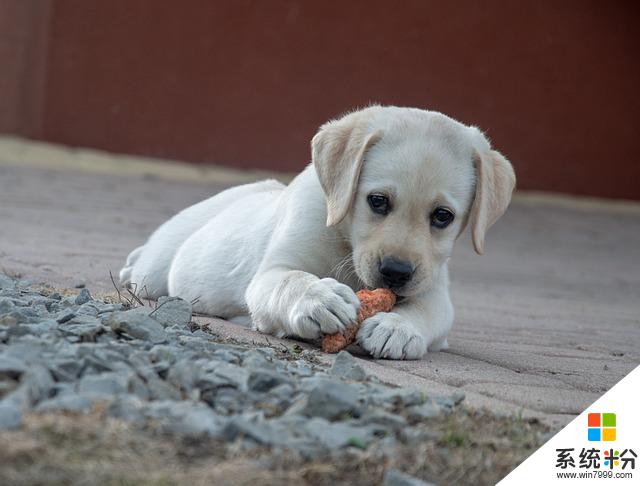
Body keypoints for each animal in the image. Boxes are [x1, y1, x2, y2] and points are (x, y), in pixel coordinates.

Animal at [121, 105, 516, 356]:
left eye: (442, 216)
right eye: (377, 201)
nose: (395, 272)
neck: (345, 242)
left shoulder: (434, 288)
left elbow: (427, 312)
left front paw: (397, 327)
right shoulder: (271, 273)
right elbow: (290, 280)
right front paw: (319, 298)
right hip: (157, 269)